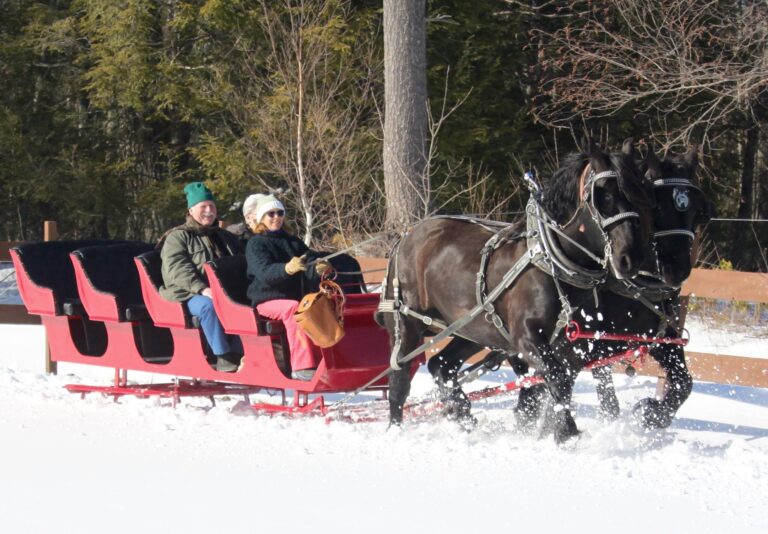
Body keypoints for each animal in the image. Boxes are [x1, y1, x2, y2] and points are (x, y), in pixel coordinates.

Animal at [376, 141, 655, 443]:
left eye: (639, 195)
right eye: (602, 194)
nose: (631, 258)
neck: (551, 259)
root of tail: (407, 237)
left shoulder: (567, 344)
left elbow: (556, 383)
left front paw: (548, 427)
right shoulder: (526, 338)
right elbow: (556, 377)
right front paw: (566, 432)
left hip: (474, 328)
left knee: (441, 365)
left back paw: (462, 414)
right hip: (409, 323)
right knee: (400, 379)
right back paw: (396, 429)